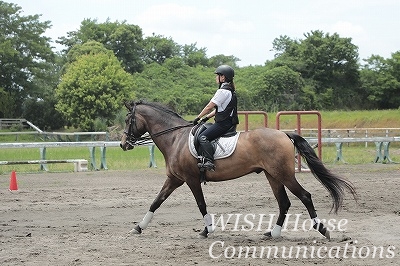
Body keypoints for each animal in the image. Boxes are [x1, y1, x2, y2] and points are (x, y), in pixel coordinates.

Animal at [119, 101, 356, 240]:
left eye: (128, 119)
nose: (123, 144)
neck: (175, 138)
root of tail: (283, 134)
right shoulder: (174, 179)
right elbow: (156, 202)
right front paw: (138, 227)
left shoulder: (191, 179)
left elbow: (201, 204)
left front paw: (207, 230)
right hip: (273, 175)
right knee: (284, 203)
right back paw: (273, 232)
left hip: (284, 174)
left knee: (305, 196)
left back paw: (322, 229)